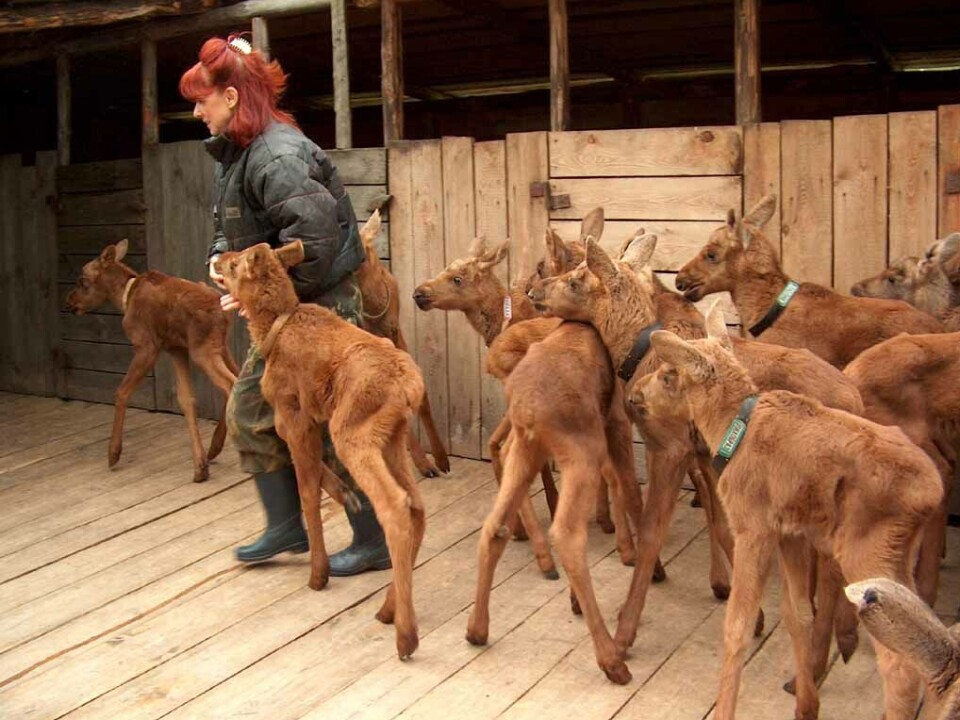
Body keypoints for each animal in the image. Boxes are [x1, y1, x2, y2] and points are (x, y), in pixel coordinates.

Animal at [65, 239, 237, 483]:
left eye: (83, 281)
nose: (69, 302)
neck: (124, 297)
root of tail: (221, 310)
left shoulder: (146, 346)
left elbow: (122, 392)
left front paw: (113, 453)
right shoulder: (176, 349)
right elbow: (186, 399)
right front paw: (200, 465)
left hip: (203, 351)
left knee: (231, 384)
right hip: (220, 346)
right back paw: (215, 446)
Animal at [214, 241, 426, 660]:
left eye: (234, 265)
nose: (217, 258)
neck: (272, 328)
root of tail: (409, 386)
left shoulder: (294, 416)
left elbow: (308, 491)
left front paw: (318, 573)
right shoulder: (308, 419)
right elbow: (318, 475)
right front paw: (346, 496)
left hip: (353, 434)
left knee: (395, 504)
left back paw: (405, 635)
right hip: (390, 437)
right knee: (417, 505)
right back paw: (389, 609)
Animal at [637, 326, 942, 720]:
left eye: (668, 375)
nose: (637, 393)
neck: (728, 429)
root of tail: (931, 493)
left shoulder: (753, 529)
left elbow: (737, 626)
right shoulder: (791, 535)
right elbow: (799, 614)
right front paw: (807, 705)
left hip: (867, 552)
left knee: (899, 664)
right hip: (898, 557)